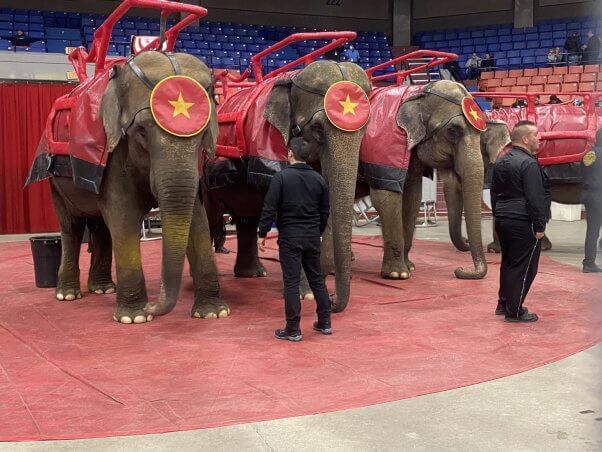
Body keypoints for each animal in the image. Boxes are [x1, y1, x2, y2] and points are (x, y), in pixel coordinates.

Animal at [25, 51, 227, 324]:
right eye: (140, 130)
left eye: (204, 131)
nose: (153, 306)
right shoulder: (113, 150)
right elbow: (123, 214)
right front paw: (135, 318)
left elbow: (196, 216)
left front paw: (213, 313)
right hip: (54, 181)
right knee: (72, 227)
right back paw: (67, 295)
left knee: (100, 226)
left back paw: (103, 289)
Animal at [203, 60, 370, 312]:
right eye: (318, 128)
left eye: (364, 131)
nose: (332, 300)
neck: (293, 78)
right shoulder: (269, 141)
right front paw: (307, 295)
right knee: (212, 218)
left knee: (246, 218)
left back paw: (252, 274)